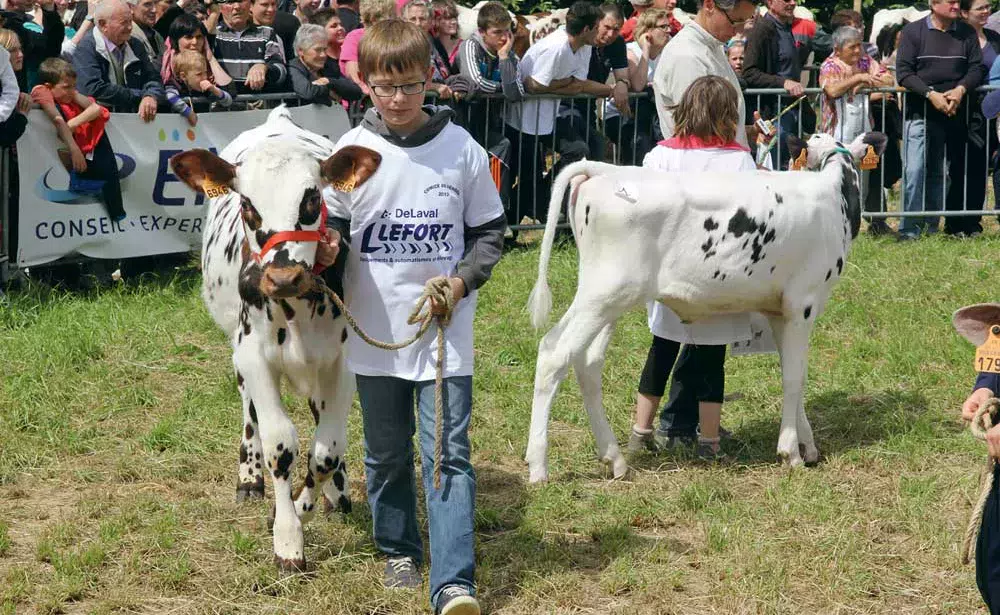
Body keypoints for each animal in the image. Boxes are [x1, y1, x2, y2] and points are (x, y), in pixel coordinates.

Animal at [170, 106, 380, 572]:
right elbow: (280, 443)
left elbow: (326, 449)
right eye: (248, 205)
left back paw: (337, 491)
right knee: (250, 412)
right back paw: (249, 477)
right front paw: (287, 536)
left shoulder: (343, 360)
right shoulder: (255, 356)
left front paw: (312, 502)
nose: (282, 277)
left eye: (312, 199)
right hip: (238, 352)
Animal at [528, 132, 888, 484]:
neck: (831, 197)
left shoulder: (779, 311)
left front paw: (808, 445)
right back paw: (538, 467)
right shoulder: (804, 304)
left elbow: (793, 372)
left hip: (606, 299)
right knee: (554, 355)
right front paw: (791, 453)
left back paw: (614, 459)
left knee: (586, 361)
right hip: (605, 293)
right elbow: (794, 378)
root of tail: (605, 170)